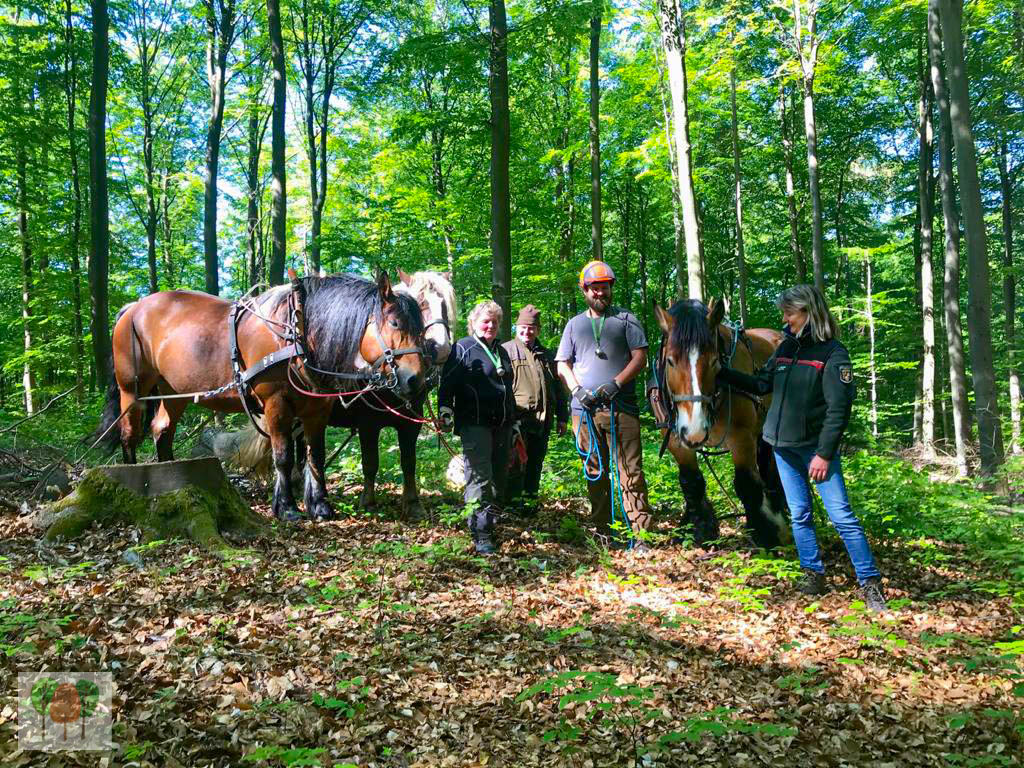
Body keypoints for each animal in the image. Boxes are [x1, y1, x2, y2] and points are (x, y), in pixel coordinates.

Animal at [96, 272, 428, 524]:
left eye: (422, 328)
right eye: (395, 324)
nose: (416, 379)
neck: (298, 332)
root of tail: (134, 307)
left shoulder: (317, 409)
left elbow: (315, 456)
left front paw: (319, 505)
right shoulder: (276, 405)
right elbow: (283, 457)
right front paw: (287, 508)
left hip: (174, 391)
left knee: (162, 430)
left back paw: (170, 477)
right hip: (133, 389)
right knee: (129, 433)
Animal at [651, 296, 786, 548]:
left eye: (715, 362)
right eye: (671, 361)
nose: (694, 431)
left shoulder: (742, 437)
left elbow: (746, 484)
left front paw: (765, 534)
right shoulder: (675, 439)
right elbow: (691, 482)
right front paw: (700, 530)